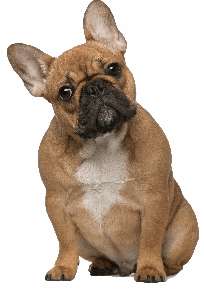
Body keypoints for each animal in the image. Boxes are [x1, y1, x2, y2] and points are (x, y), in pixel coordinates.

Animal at [7, 0, 198, 282]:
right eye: (65, 92)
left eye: (112, 68)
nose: (94, 88)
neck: (101, 143)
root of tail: (125, 266)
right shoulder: (56, 203)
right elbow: (65, 241)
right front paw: (63, 267)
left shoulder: (154, 198)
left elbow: (150, 238)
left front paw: (150, 268)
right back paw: (103, 265)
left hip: (184, 228)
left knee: (173, 257)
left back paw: (160, 266)